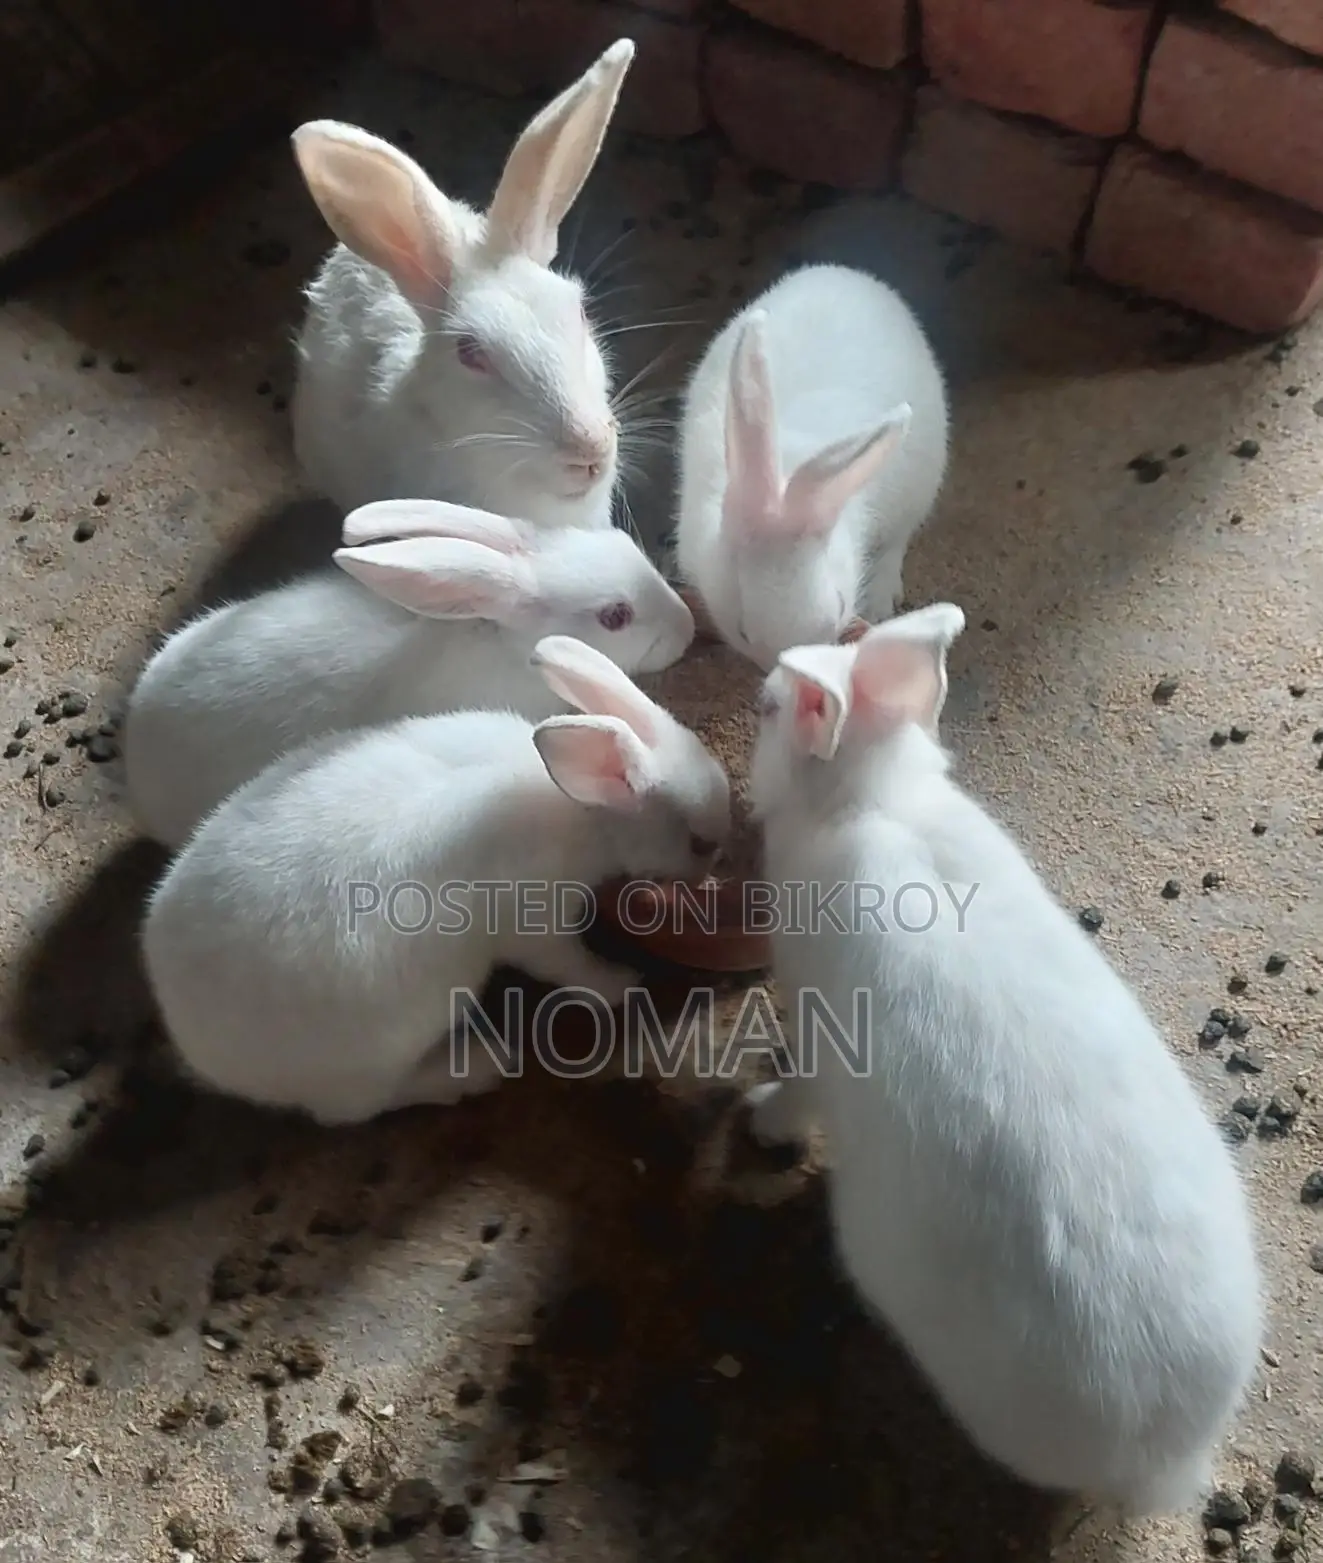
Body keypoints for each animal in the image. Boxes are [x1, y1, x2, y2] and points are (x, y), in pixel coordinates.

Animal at [141, 634, 732, 1127]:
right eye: (700, 844)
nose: (712, 871)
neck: (584, 812)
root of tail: (197, 1044)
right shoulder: (535, 928)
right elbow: (573, 969)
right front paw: (622, 982)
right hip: (375, 1052)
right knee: (358, 1109)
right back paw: (480, 1064)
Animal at [742, 605, 1262, 1515]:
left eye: (773, 709)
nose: (751, 717)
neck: (871, 799)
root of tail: (1164, 1452)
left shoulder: (811, 1023)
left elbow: (797, 1095)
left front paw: (757, 1116)